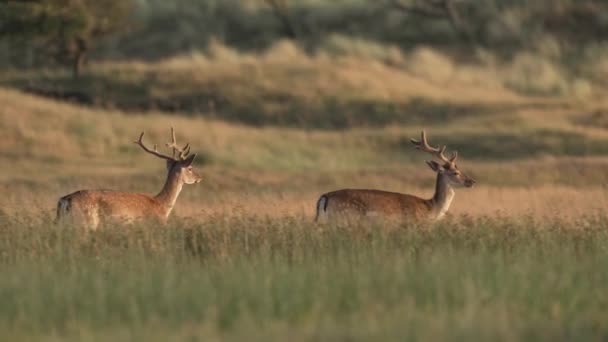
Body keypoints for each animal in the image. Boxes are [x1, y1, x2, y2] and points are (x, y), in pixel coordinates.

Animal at [316, 130, 478, 222]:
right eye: (455, 173)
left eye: (459, 169)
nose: (471, 181)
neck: (430, 209)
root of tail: (324, 197)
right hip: (345, 217)